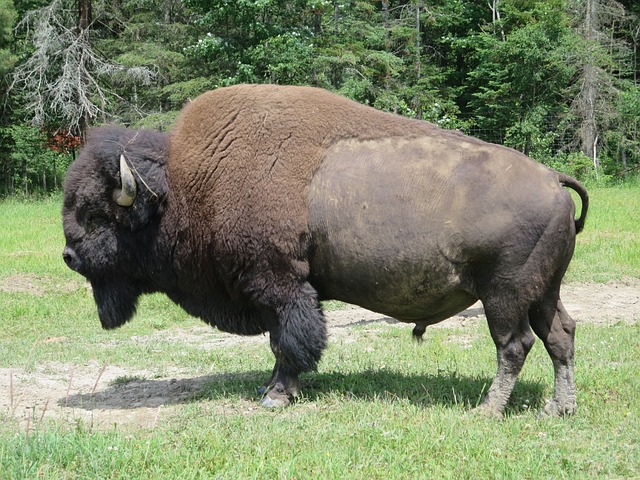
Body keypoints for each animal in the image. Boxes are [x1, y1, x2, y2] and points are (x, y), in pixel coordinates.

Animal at [62, 84, 588, 418]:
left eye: (97, 213)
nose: (69, 256)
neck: (185, 184)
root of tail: (553, 181)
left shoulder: (278, 284)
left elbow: (289, 341)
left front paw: (277, 395)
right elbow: (284, 341)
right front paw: (273, 389)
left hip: (504, 294)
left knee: (514, 345)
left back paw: (487, 410)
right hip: (544, 291)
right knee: (560, 335)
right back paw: (558, 408)